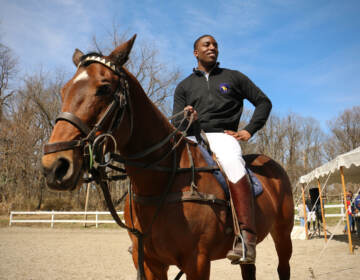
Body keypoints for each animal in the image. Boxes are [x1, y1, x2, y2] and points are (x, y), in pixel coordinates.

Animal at [41, 35, 296, 280]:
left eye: (104, 88)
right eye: (64, 90)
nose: (54, 166)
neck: (158, 183)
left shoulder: (197, 263)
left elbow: (262, 100)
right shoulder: (148, 261)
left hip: (283, 234)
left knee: (283, 268)